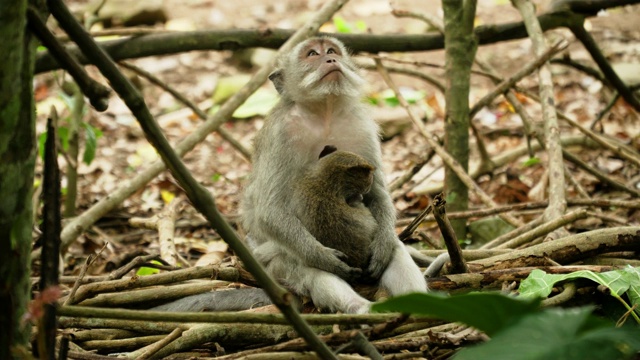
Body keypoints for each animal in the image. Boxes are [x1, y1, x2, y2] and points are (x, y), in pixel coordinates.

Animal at [242, 35, 428, 314]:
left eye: (331, 50)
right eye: (312, 54)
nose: (330, 59)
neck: (324, 111)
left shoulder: (361, 125)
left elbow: (376, 194)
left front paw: (383, 245)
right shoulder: (280, 133)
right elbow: (270, 210)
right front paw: (325, 259)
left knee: (396, 251)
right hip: (273, 263)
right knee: (307, 269)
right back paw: (360, 307)